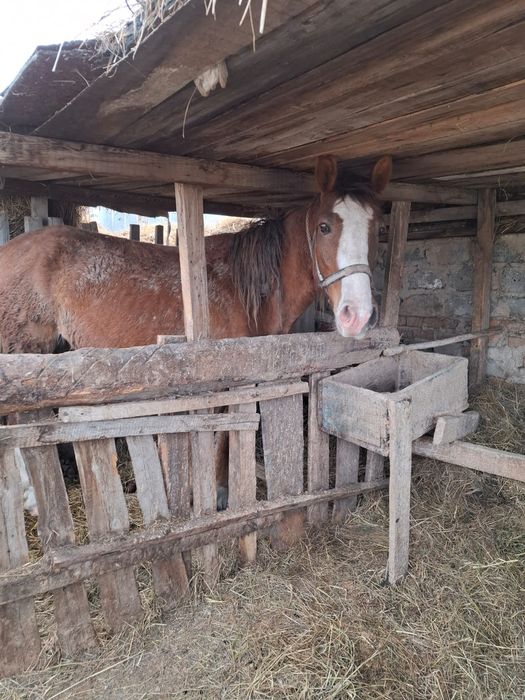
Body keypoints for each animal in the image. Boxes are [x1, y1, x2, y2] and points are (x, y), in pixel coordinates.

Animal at [0, 154, 392, 512]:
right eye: (325, 227)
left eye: (376, 230)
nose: (357, 315)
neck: (243, 288)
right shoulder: (224, 382)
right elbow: (221, 437)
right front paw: (217, 493)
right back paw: (31, 497)